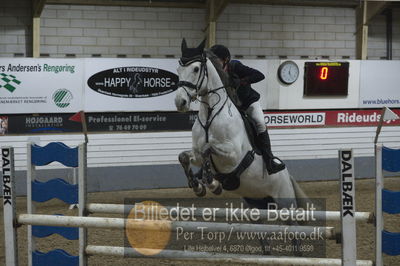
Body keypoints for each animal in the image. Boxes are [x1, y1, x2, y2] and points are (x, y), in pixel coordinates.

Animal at [175, 39, 306, 210]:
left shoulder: (233, 156)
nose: (180, 102)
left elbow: (207, 149)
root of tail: (288, 177)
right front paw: (198, 186)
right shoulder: (196, 154)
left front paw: (213, 185)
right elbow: (185, 156)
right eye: (178, 69)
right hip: (256, 203)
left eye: (196, 69)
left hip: (285, 202)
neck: (211, 113)